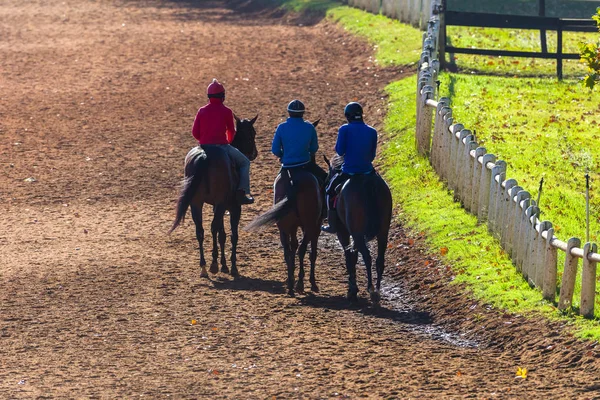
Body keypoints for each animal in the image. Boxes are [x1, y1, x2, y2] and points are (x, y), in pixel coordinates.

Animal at [171, 115, 260, 278]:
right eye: (252, 133)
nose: (254, 153)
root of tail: (204, 156)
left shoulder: (218, 206)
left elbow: (221, 234)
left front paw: (224, 265)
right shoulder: (233, 207)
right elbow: (232, 235)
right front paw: (232, 267)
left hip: (196, 203)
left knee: (200, 230)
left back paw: (204, 267)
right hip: (218, 204)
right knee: (212, 228)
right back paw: (212, 265)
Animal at [245, 120, 326, 296]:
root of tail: (293, 181)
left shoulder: (294, 226)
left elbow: (293, 247)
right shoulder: (315, 227)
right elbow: (312, 252)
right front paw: (312, 283)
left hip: (284, 225)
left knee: (288, 248)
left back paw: (290, 284)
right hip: (309, 224)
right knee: (302, 249)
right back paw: (300, 283)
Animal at [324, 154, 394, 304]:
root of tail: (368, 183)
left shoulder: (343, 232)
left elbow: (349, 256)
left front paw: (352, 290)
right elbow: (353, 255)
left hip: (357, 233)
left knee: (367, 256)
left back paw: (371, 289)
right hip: (383, 232)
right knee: (380, 259)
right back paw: (377, 290)